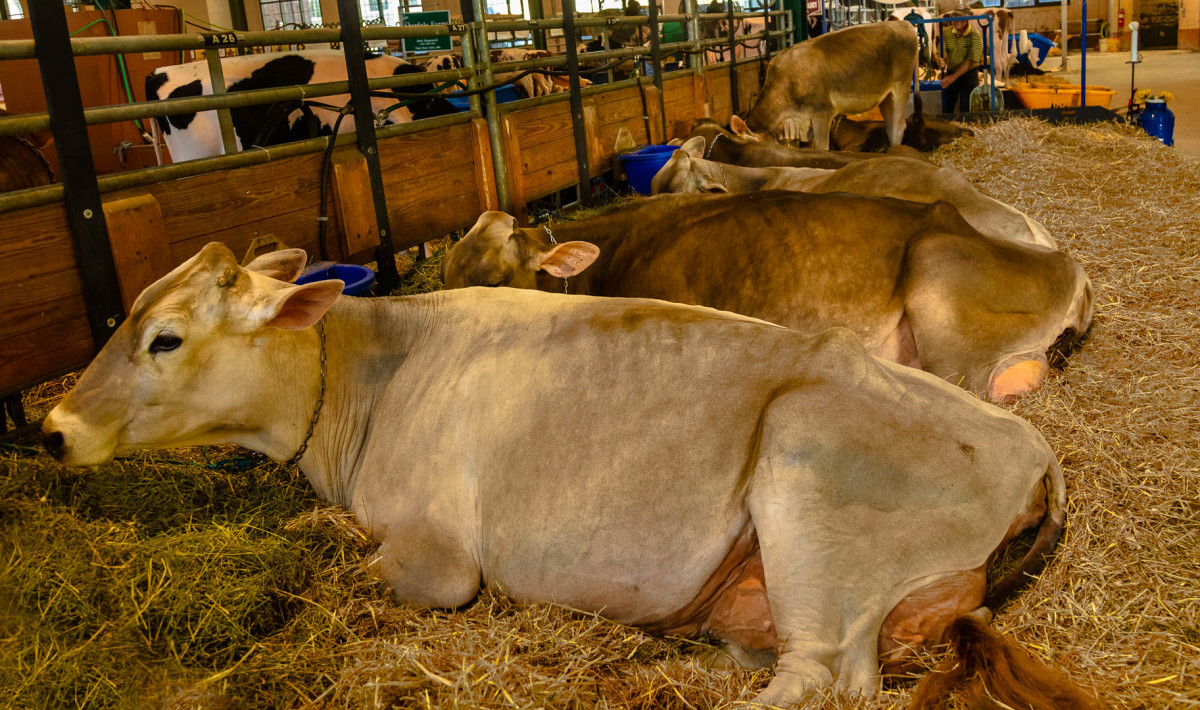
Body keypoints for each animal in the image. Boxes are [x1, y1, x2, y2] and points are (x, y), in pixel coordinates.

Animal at [42, 241, 1099, 705]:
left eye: (165, 337)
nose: (52, 427)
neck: (370, 379)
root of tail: (1033, 448)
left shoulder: (441, 560)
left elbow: (365, 568)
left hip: (807, 472)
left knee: (825, 678)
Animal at [739, 21, 916, 148]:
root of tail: (903, 24)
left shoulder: (822, 112)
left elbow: (821, 147)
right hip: (886, 96)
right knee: (890, 124)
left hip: (901, 87)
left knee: (897, 128)